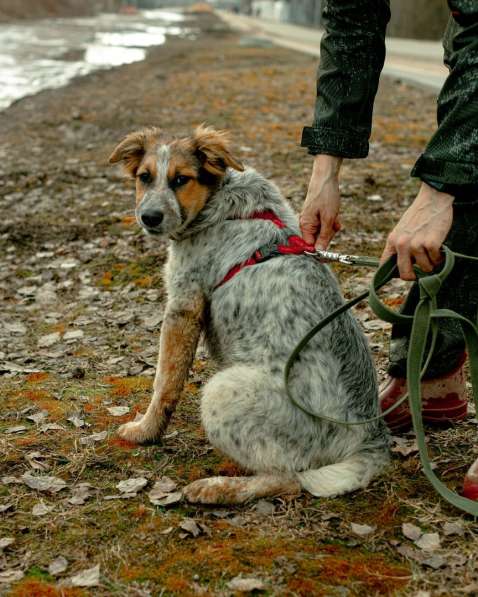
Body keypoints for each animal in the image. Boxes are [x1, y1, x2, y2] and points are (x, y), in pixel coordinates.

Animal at [108, 125, 388, 502]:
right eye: (144, 177)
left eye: (181, 179)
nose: (149, 217)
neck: (219, 205)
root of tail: (370, 440)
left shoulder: (183, 306)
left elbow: (164, 383)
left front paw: (145, 431)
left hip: (223, 391)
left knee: (289, 478)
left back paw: (216, 489)